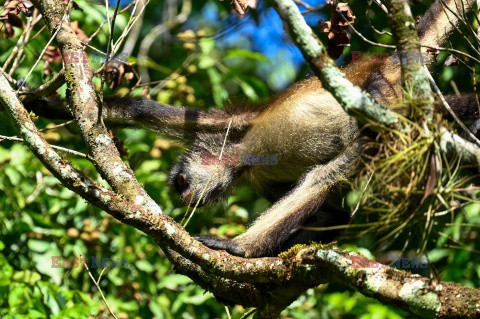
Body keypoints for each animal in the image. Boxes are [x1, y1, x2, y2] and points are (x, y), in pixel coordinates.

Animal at [26, 0, 480, 258]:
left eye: (181, 183)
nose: (183, 195)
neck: (242, 159)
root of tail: (390, 62)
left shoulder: (233, 131)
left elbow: (143, 110)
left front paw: (241, 248)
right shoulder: (245, 150)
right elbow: (337, 216)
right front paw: (38, 102)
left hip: (383, 92)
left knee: (335, 165)